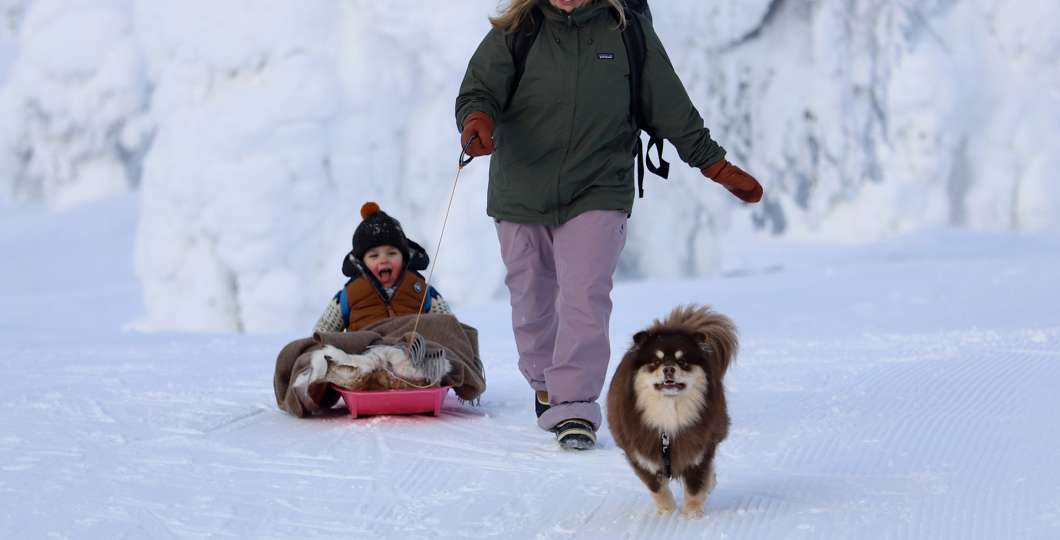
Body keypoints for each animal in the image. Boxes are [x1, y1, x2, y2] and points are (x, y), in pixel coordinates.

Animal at [606, 304, 737, 519]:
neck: (669, 412)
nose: (668, 369)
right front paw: (667, 513)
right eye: (655, 362)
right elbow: (658, 489)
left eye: (682, 361)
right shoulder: (641, 455)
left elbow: (694, 488)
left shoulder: (698, 453)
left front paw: (692, 515)